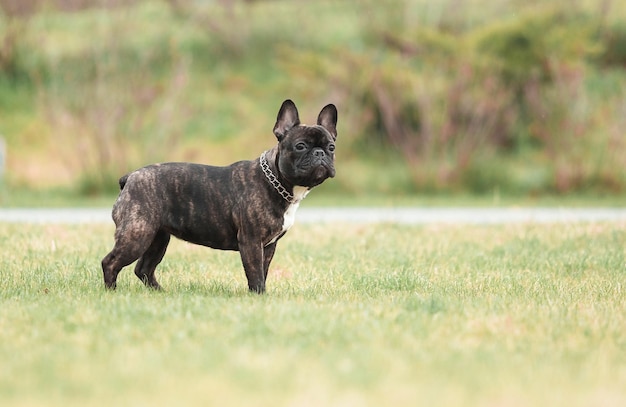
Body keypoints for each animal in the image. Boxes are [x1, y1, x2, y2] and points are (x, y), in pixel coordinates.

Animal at [101, 99, 336, 294]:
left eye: (332, 146)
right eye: (300, 146)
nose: (320, 153)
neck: (276, 181)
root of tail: (130, 177)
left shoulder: (268, 246)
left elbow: (264, 270)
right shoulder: (251, 241)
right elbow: (256, 274)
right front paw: (259, 296)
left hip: (158, 238)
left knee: (144, 268)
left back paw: (160, 293)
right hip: (137, 234)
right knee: (110, 262)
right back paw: (112, 292)